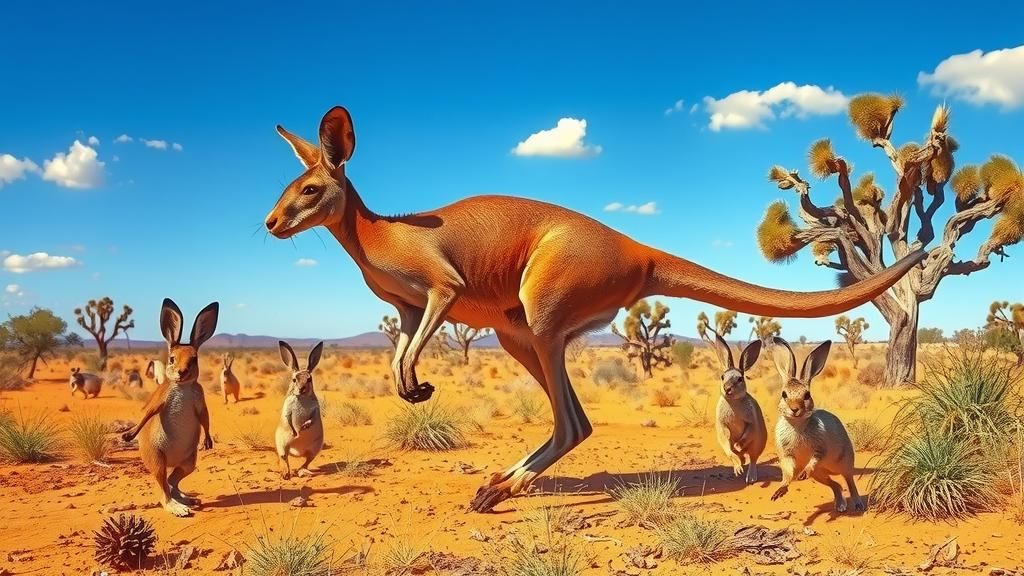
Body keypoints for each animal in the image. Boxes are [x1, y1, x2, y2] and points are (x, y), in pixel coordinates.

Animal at [121, 299, 218, 517]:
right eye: (172, 358)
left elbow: (205, 418)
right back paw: (180, 508)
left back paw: (188, 499)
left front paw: (208, 442)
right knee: (164, 491)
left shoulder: (200, 399)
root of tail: (172, 461)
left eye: (194, 359)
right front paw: (128, 435)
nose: (181, 372)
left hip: (189, 462)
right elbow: (148, 412)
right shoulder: (161, 398)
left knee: (173, 482)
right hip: (158, 461)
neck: (182, 387)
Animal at [274, 340, 325, 479]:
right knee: (284, 459)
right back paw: (286, 474)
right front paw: (295, 432)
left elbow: (313, 418)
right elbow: (287, 418)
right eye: (294, 379)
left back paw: (302, 472)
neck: (302, 397)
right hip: (282, 444)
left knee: (306, 462)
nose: (302, 389)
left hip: (314, 449)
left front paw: (304, 427)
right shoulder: (287, 408)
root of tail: (297, 452)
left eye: (309, 379)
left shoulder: (316, 409)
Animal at [706, 329, 766, 484]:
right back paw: (738, 467)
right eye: (722, 377)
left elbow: (747, 433)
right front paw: (732, 441)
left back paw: (750, 477)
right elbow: (726, 434)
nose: (727, 389)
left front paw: (738, 445)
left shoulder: (751, 422)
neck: (733, 402)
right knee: (734, 456)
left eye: (740, 379)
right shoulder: (721, 424)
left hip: (757, 445)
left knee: (753, 460)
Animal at [769, 336, 863, 513]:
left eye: (807, 395)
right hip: (820, 475)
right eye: (784, 394)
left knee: (849, 481)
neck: (797, 425)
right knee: (836, 485)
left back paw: (858, 505)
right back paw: (840, 505)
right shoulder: (787, 455)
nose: (795, 409)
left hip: (844, 462)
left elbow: (814, 459)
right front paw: (780, 491)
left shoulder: (820, 449)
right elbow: (788, 473)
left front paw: (802, 474)